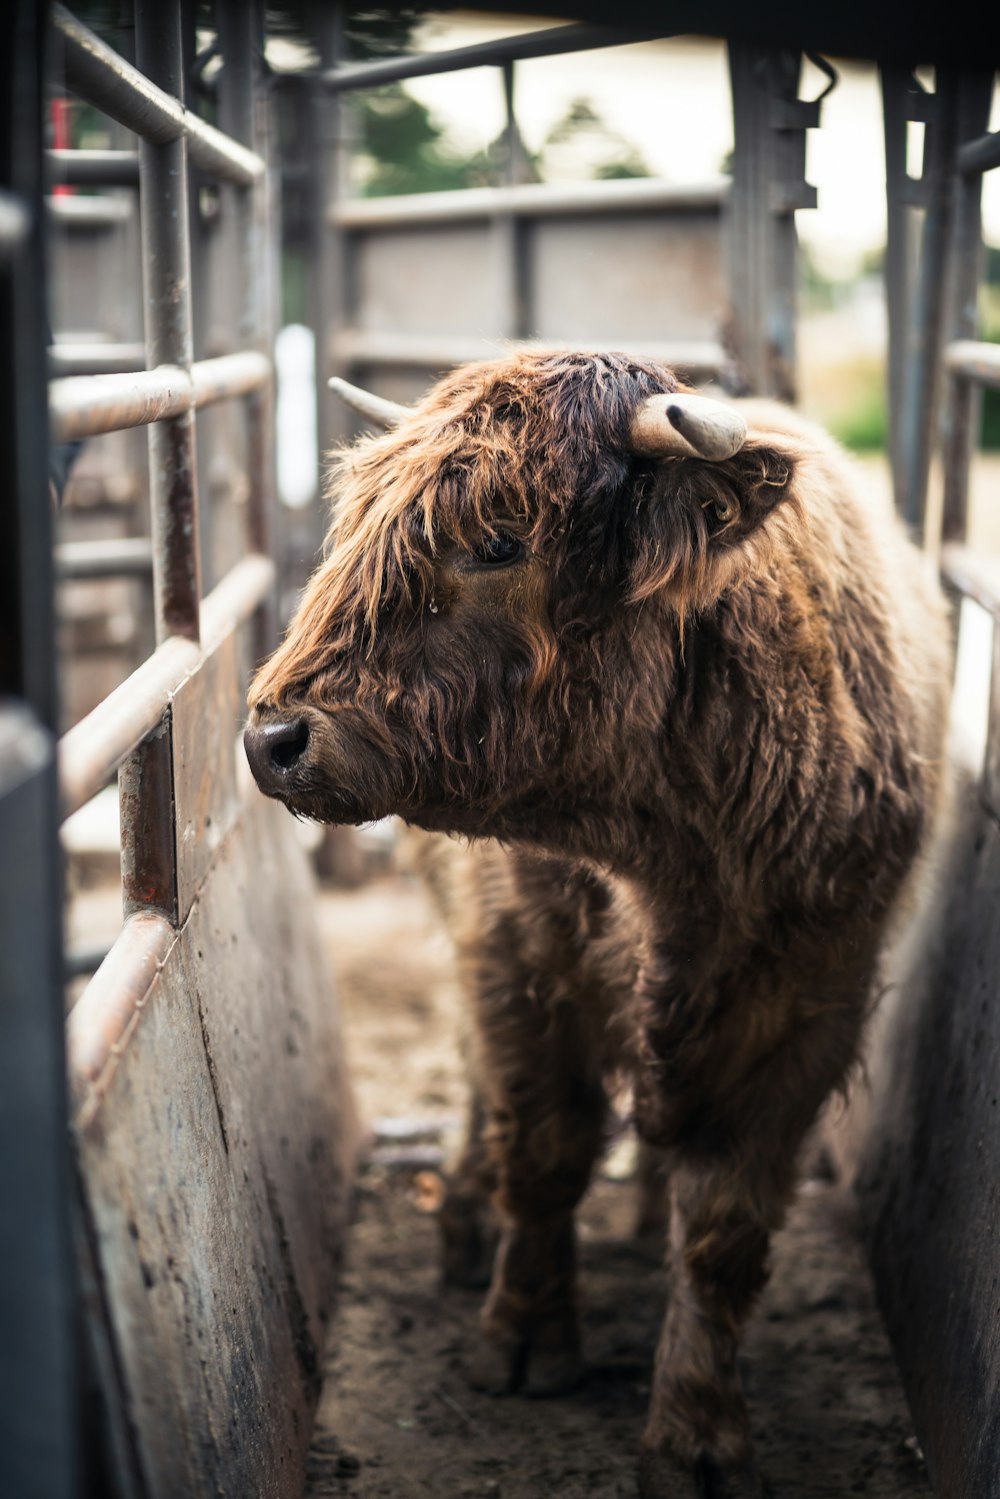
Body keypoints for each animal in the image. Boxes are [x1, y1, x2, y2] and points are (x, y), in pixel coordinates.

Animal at [245, 353, 953, 1499]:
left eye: (498, 539)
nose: (272, 736)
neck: (670, 866)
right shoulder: (517, 964)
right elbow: (543, 1152)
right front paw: (525, 1336)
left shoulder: (808, 1006)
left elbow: (724, 1230)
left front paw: (699, 1434)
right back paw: (462, 1218)